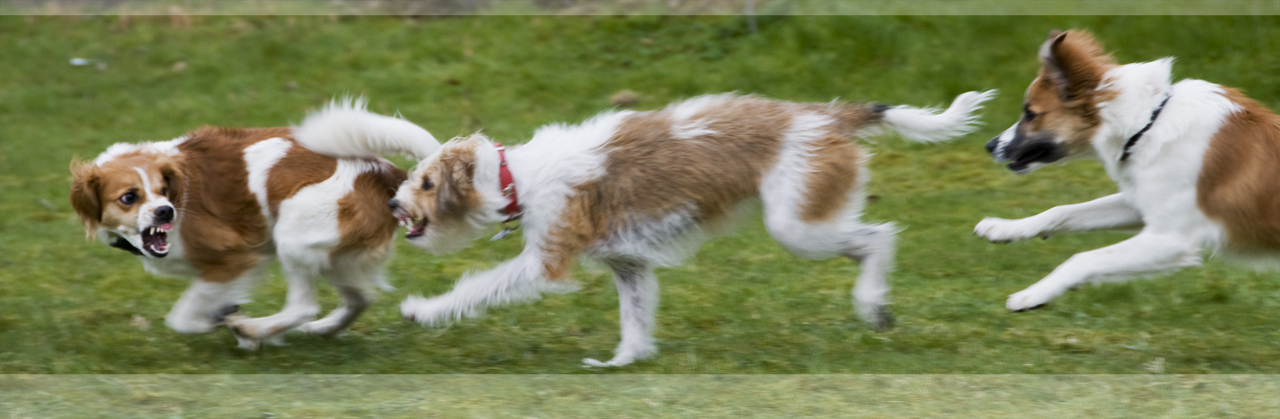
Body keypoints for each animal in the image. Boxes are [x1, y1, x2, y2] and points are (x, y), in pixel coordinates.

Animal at [71, 102, 440, 351]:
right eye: (129, 197)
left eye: (163, 190)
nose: (165, 212)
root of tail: (386, 173)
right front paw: (230, 320)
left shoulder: (236, 258)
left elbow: (184, 318)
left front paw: (231, 326)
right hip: (336, 257)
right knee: (360, 298)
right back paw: (321, 329)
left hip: (293, 235)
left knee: (303, 306)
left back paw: (258, 329)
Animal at [304, 90, 993, 366]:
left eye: (424, 183)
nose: (395, 204)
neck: (515, 177)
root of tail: (827, 116)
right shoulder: (628, 265)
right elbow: (635, 319)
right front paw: (623, 363)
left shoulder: (544, 260)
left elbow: (480, 286)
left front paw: (424, 310)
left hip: (798, 226)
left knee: (880, 236)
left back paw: (873, 302)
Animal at [977, 29, 1280, 311]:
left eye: (1030, 114)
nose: (989, 146)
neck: (1147, 124)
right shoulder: (1142, 204)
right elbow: (1061, 211)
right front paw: (1005, 228)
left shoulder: (1172, 238)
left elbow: (1083, 258)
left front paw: (1033, 294)